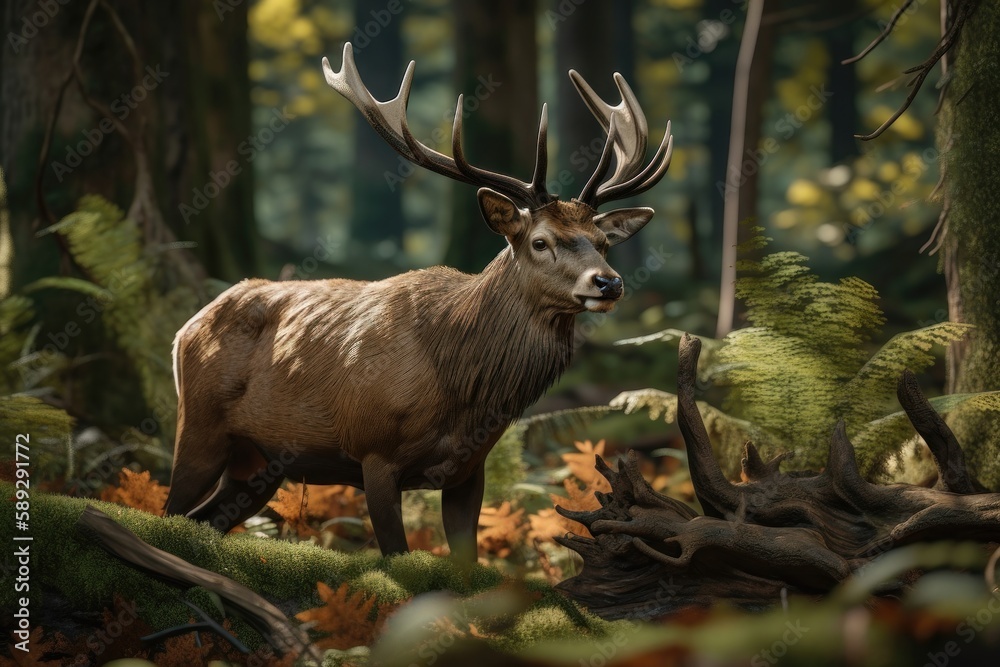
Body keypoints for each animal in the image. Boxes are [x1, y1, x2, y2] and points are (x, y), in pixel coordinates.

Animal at [163, 42, 673, 560]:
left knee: (204, 519)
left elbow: (468, 564)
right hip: (199, 424)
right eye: (541, 242)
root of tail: (185, 328)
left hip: (257, 463)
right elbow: (397, 557)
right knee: (168, 509)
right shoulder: (374, 453)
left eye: (603, 242)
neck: (461, 396)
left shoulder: (469, 469)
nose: (608, 283)